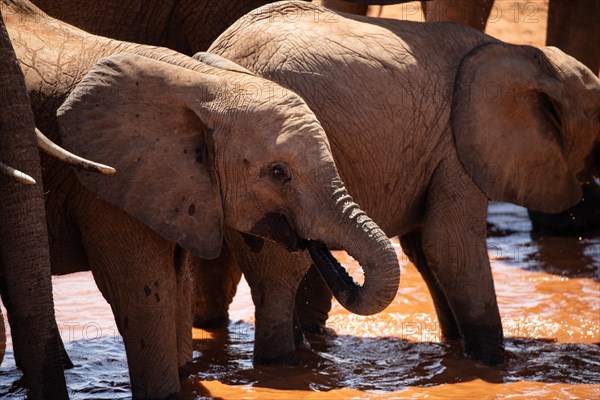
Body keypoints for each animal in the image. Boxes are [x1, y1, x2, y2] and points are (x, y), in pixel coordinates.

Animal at [3, 0, 398, 396]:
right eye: (277, 173)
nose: (317, 248)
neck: (204, 82)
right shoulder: (106, 184)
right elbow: (144, 295)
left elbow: (177, 284)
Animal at [210, 0, 600, 368]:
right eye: (599, 123)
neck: (527, 56)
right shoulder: (458, 147)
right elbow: (449, 246)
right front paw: (493, 365)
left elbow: (423, 247)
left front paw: (456, 348)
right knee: (279, 272)